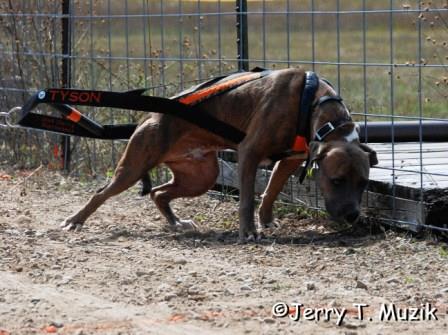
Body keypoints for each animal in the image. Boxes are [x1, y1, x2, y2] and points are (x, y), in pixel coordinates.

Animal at [61, 69, 378, 242]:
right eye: (336, 180)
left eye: (363, 183)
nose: (352, 215)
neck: (318, 105)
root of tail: (149, 117)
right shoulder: (250, 153)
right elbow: (247, 199)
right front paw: (249, 232)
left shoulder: (289, 159)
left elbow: (272, 190)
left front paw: (266, 220)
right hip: (132, 167)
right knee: (101, 193)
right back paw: (74, 221)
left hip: (201, 177)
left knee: (159, 193)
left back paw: (177, 223)